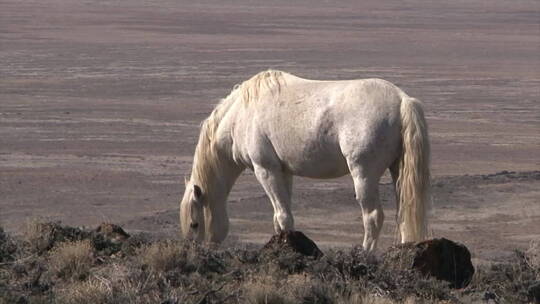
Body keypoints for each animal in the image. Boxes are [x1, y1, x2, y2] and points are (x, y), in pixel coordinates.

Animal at [180, 70, 430, 251]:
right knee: (405, 211)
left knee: (373, 217)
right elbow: (280, 216)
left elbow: (283, 217)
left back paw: (366, 255)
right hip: (397, 170)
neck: (240, 115)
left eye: (194, 224)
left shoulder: (265, 170)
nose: (197, 252)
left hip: (363, 174)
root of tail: (402, 100)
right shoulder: (283, 172)